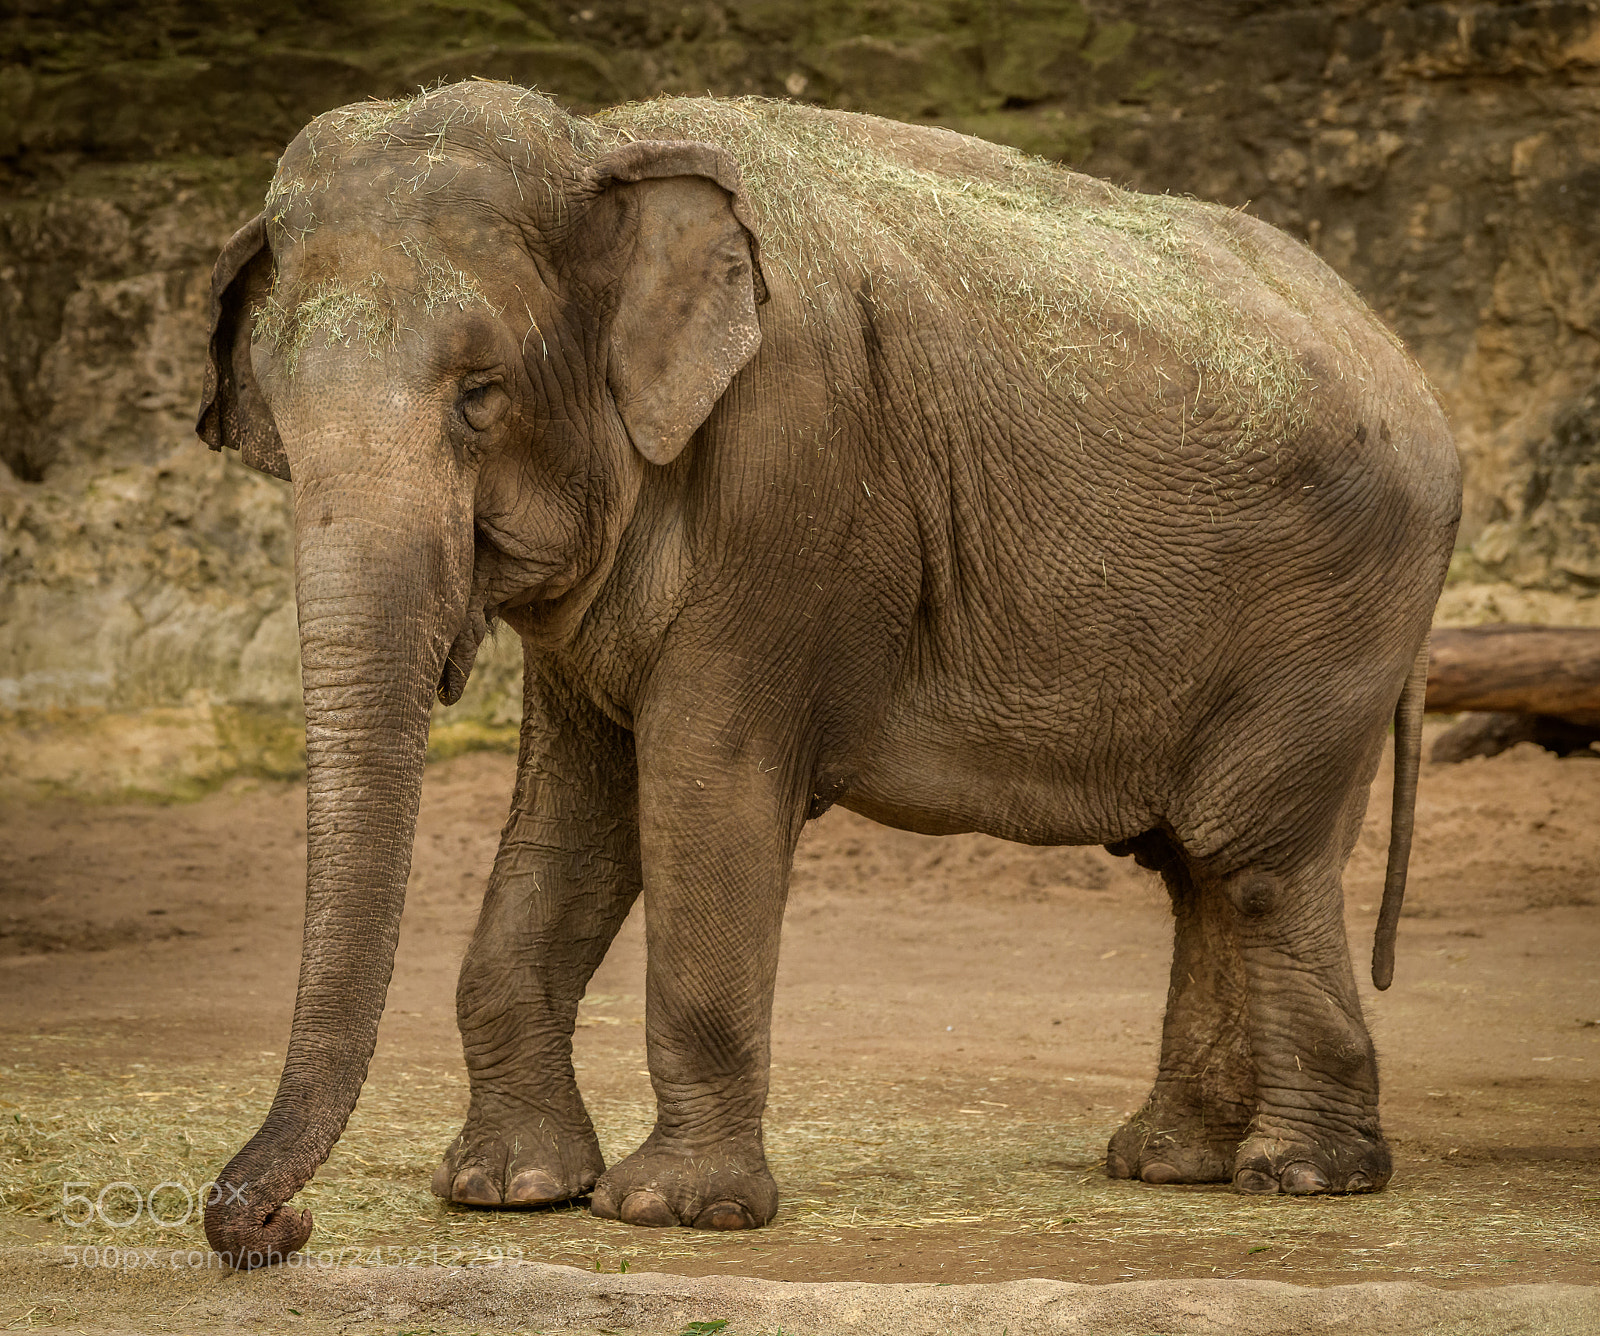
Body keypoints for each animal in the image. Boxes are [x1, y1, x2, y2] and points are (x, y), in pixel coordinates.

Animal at [195, 80, 1460, 1268]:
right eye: (279, 423)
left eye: (478, 394)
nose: (270, 1225)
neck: (604, 143)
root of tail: (1408, 363)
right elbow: (572, 822)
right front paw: (506, 1187)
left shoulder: (794, 480)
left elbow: (700, 783)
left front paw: (671, 1211)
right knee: (1198, 865)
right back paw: (1168, 1161)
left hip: (1334, 621)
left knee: (1255, 861)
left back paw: (1301, 1175)